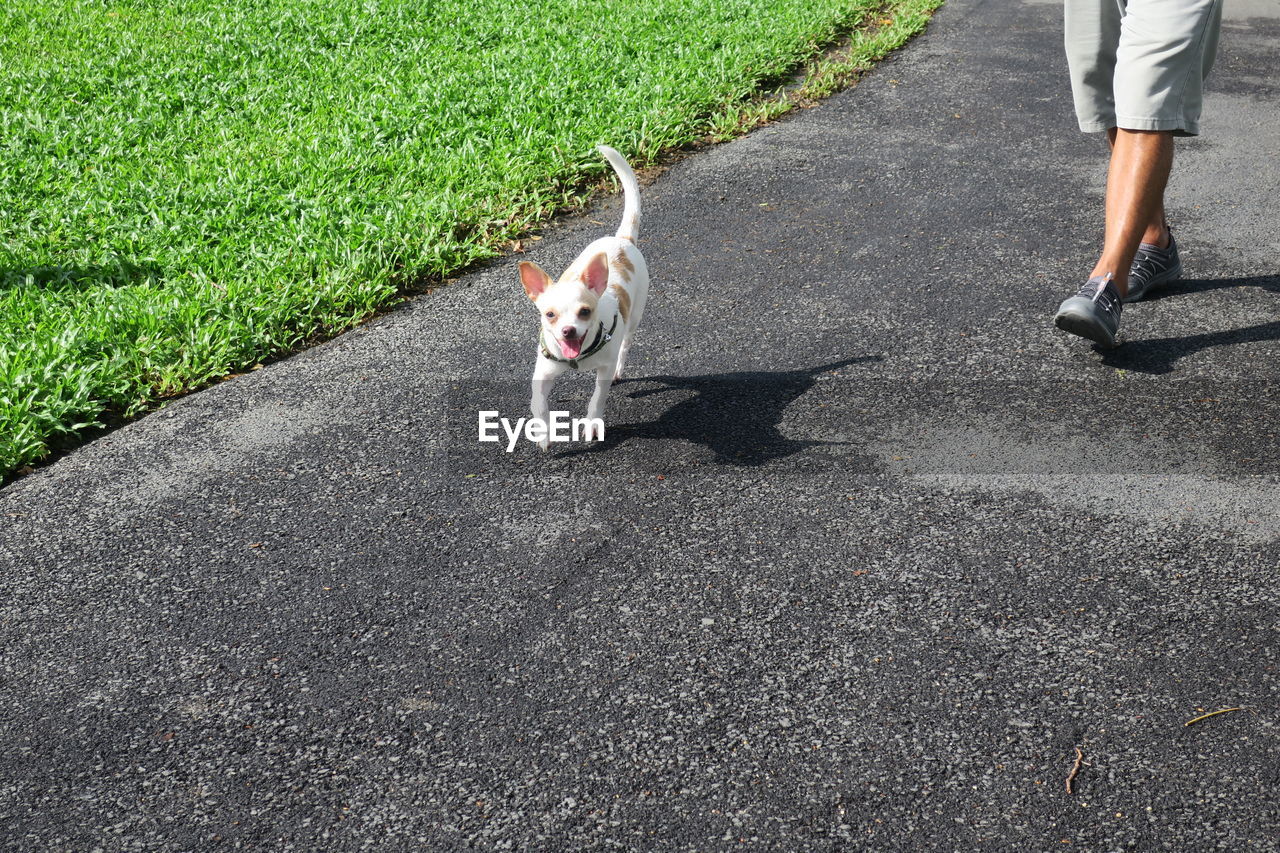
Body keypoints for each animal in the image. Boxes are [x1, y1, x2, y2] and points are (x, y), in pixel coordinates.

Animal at [519, 144, 650, 450]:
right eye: (549, 315)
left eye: (585, 312)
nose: (568, 330)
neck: (578, 359)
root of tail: (622, 241)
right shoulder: (543, 374)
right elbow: (538, 403)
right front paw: (543, 432)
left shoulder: (602, 371)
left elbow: (597, 399)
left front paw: (591, 424)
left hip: (635, 317)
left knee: (625, 346)